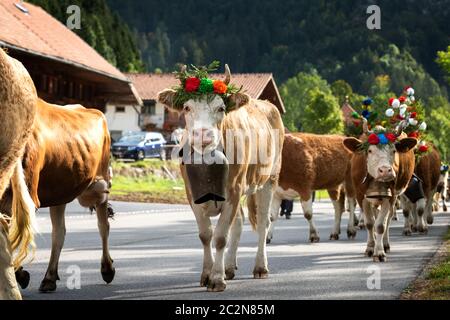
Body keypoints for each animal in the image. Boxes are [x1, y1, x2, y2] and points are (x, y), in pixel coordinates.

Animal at [0, 97, 115, 292]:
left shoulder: (27, 193)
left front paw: (18, 273)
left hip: (99, 184)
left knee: (103, 225)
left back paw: (107, 268)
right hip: (61, 192)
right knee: (59, 232)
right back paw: (49, 277)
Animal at [158, 63, 284, 292]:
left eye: (221, 108)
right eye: (187, 108)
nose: (203, 135)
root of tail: (267, 105)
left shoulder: (234, 189)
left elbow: (219, 237)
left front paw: (217, 278)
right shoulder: (192, 194)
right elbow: (205, 235)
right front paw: (207, 274)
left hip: (269, 179)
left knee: (263, 222)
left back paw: (260, 267)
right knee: (240, 221)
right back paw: (230, 267)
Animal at [342, 121, 416, 262]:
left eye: (394, 150)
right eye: (370, 150)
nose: (385, 170)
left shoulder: (389, 197)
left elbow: (381, 225)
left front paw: (379, 252)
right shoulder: (361, 196)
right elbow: (370, 223)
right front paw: (370, 248)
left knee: (387, 219)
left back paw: (385, 244)